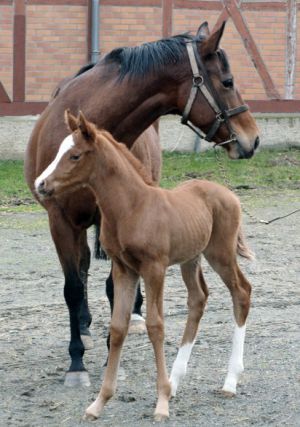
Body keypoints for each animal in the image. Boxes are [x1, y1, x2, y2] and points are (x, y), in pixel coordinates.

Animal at [25, 21, 260, 390]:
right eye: (227, 82)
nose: (253, 139)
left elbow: (113, 289)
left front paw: (112, 351)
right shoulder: (60, 221)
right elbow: (73, 287)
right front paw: (77, 361)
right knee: (83, 265)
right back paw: (84, 326)